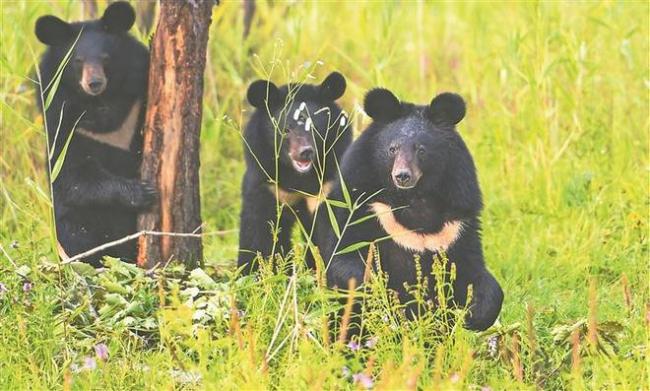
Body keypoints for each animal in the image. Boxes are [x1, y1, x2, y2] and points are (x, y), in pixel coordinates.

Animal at [37, 1, 153, 266]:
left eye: (105, 59)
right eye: (77, 61)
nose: (94, 83)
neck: (101, 103)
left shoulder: (135, 104)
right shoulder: (63, 122)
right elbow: (74, 176)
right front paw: (143, 192)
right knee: (76, 235)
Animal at [237, 72, 352, 274]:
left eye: (314, 127)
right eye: (286, 130)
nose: (305, 152)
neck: (298, 178)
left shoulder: (327, 186)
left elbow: (334, 229)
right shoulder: (267, 184)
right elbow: (259, 231)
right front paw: (256, 273)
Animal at [316, 88, 504, 330]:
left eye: (421, 150)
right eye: (392, 149)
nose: (403, 175)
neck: (413, 198)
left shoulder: (458, 223)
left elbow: (472, 270)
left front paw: (475, 315)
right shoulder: (362, 207)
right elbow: (345, 258)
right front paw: (377, 289)